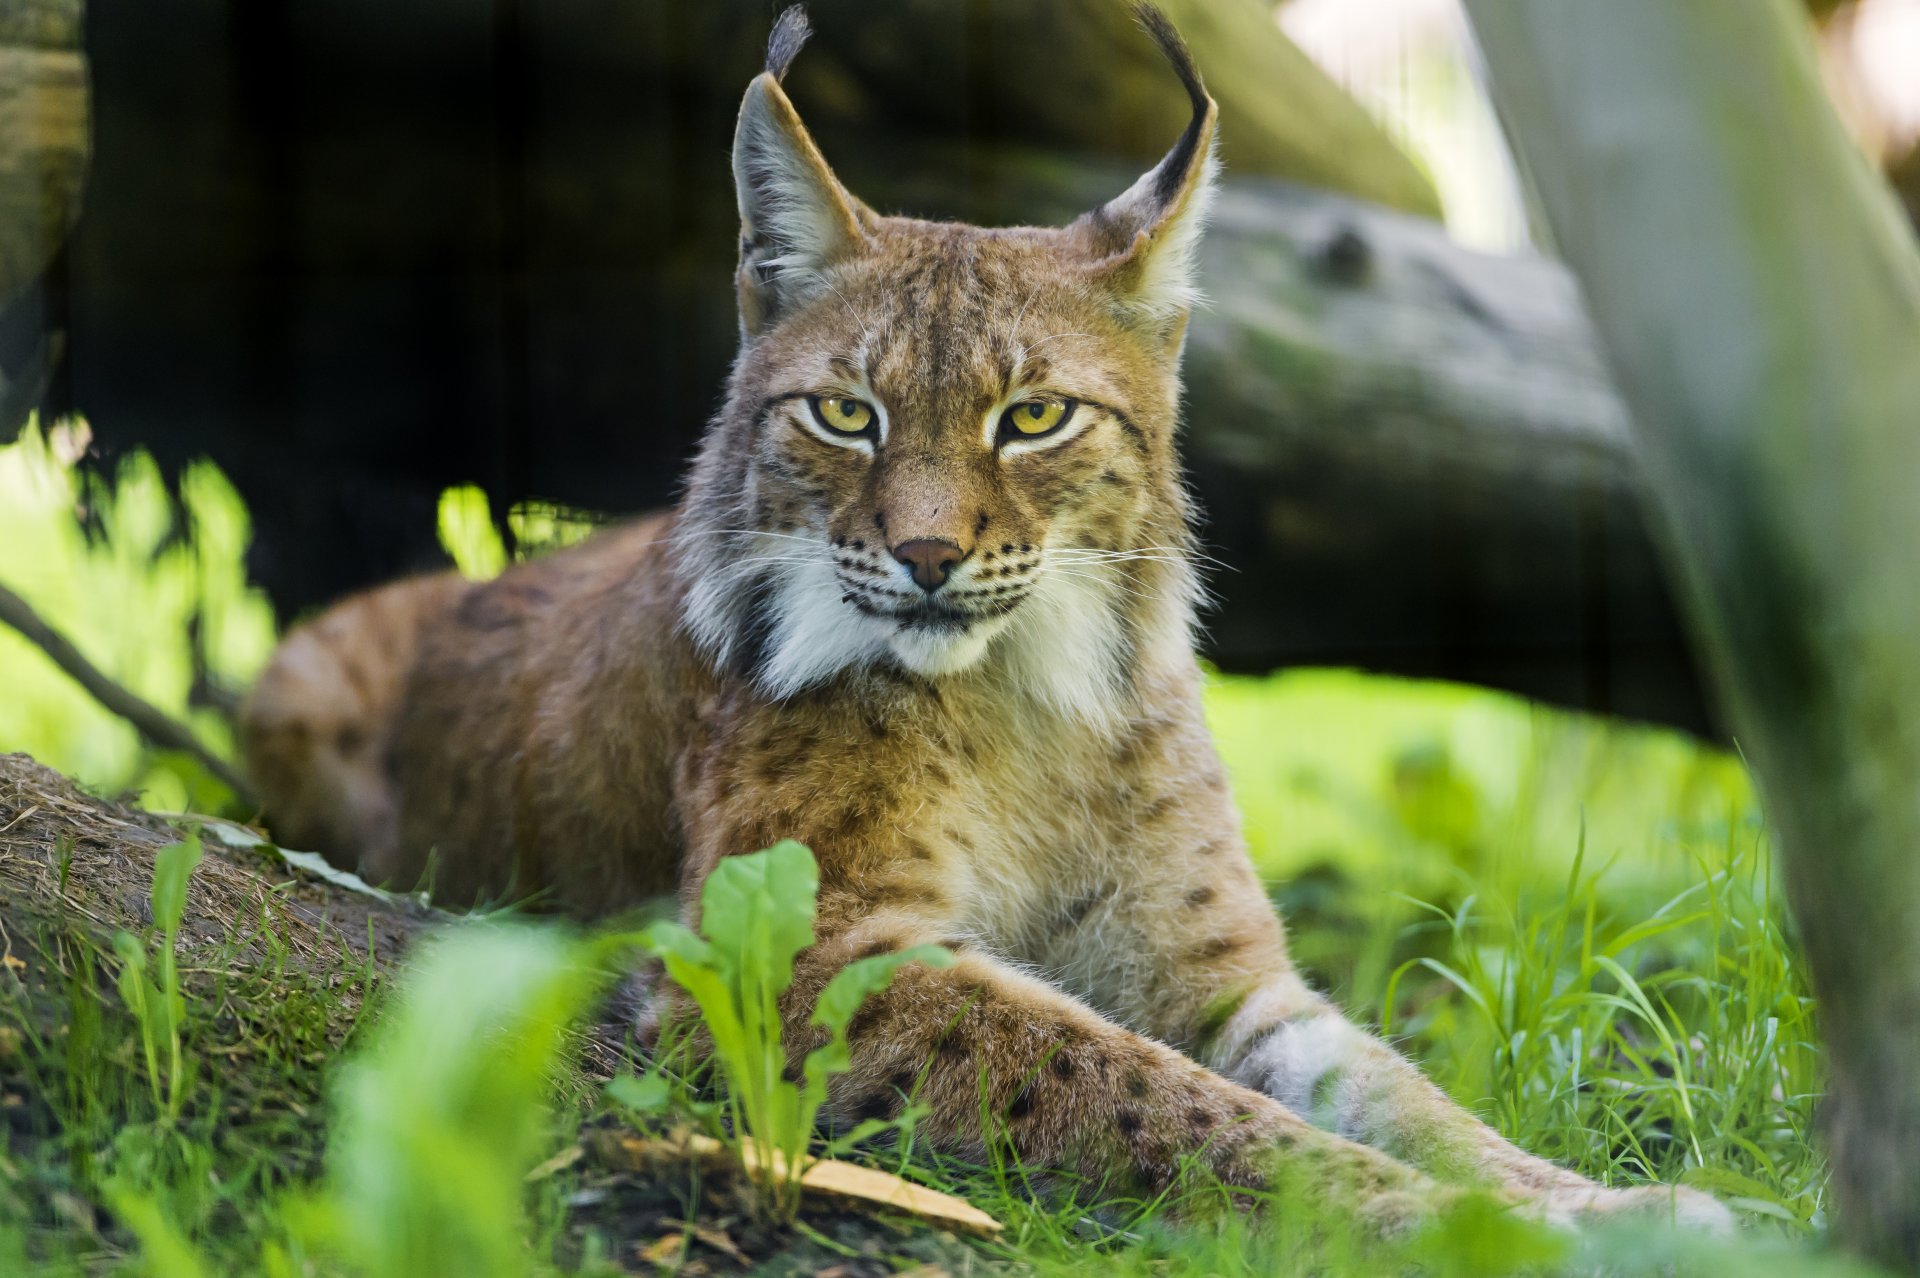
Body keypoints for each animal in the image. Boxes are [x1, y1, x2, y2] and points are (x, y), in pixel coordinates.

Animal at [240, 4, 1731, 1235]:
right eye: (848, 413)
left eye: (1035, 418)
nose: (926, 554)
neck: (1028, 692)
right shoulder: (801, 952)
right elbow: (1165, 1097)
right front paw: (1459, 1227)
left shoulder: (1220, 969)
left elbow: (1402, 1094)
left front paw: (1601, 1207)